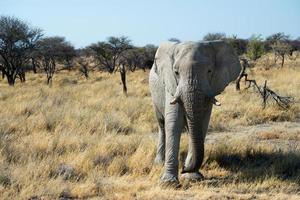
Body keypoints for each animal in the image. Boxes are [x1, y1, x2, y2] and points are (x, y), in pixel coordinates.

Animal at [148, 40, 241, 186]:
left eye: (209, 71)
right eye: (176, 72)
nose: (184, 168)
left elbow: (202, 123)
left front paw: (192, 177)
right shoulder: (172, 85)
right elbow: (173, 123)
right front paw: (168, 183)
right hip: (154, 97)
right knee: (162, 125)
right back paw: (159, 163)